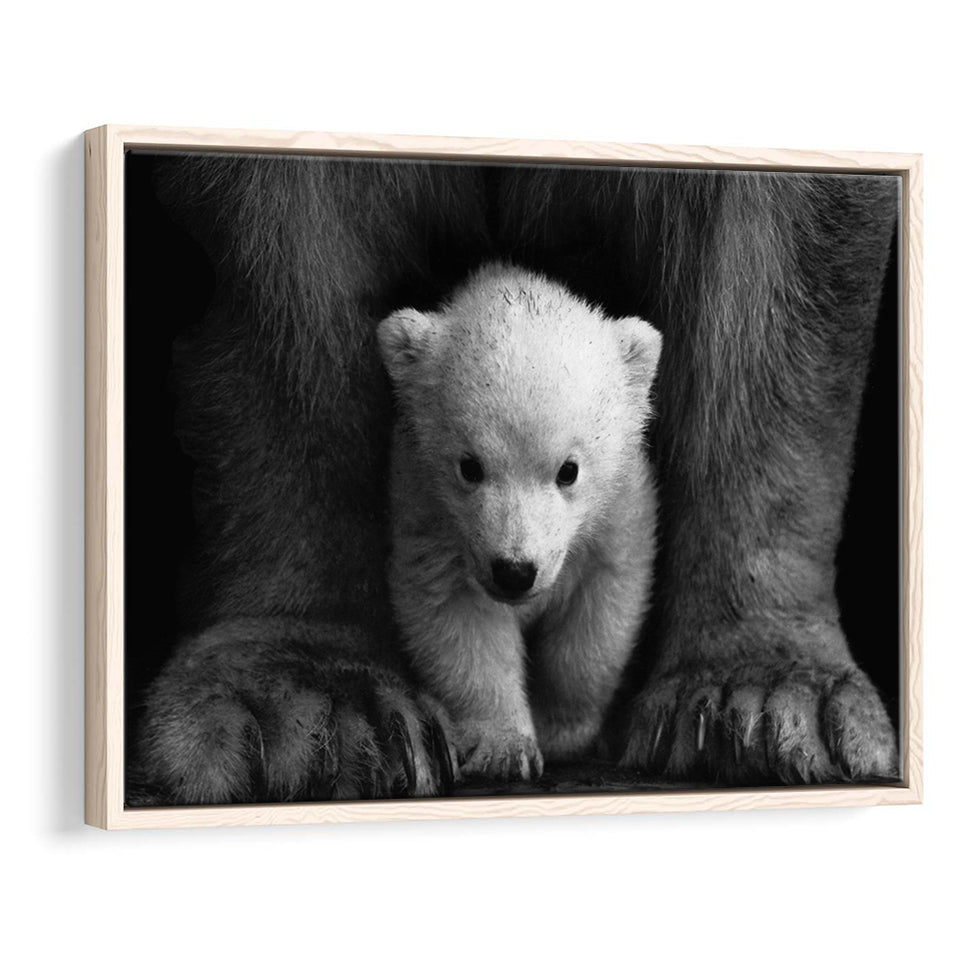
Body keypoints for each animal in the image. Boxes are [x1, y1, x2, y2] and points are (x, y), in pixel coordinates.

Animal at [377, 264, 661, 781]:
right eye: (469, 466)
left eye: (568, 470)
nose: (514, 571)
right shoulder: (429, 516)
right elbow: (458, 620)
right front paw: (505, 749)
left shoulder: (619, 513)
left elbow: (598, 617)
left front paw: (562, 730)